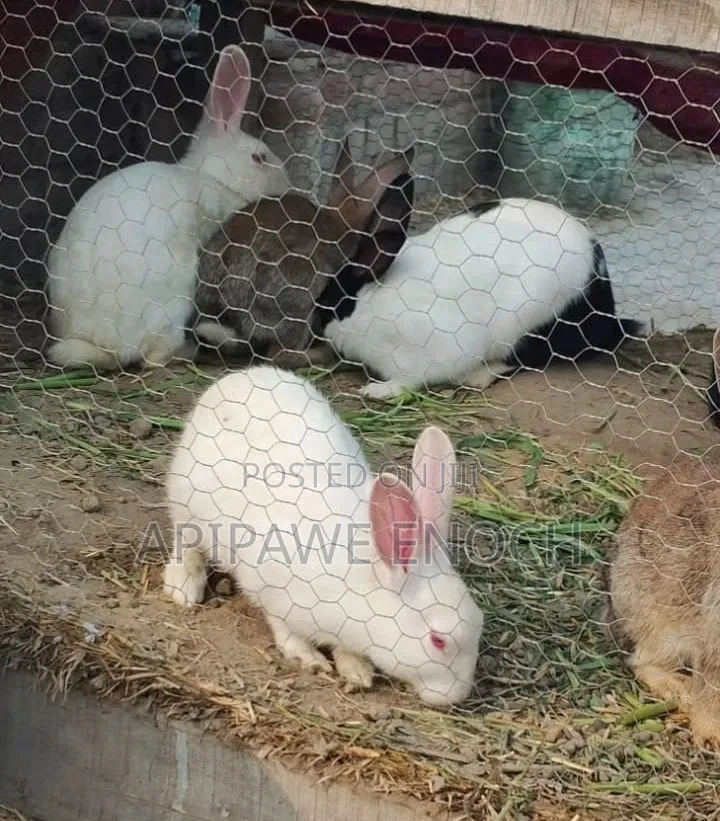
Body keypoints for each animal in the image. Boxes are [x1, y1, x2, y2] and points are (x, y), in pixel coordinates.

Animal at [45, 45, 315, 372]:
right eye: (259, 157)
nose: (287, 183)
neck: (212, 177)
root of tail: (106, 346)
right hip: (176, 294)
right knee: (153, 358)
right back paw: (187, 351)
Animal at [162, 365, 484, 706]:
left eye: (479, 620)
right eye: (438, 641)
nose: (457, 695)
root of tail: (235, 378)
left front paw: (357, 670)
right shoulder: (271, 590)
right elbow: (286, 630)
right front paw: (310, 659)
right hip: (187, 506)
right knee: (185, 543)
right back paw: (184, 586)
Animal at [320, 197, 644, 399]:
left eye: (337, 306)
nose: (319, 329)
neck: (375, 302)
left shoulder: (433, 349)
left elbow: (410, 379)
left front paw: (376, 391)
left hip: (525, 326)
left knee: (523, 360)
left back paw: (476, 378)